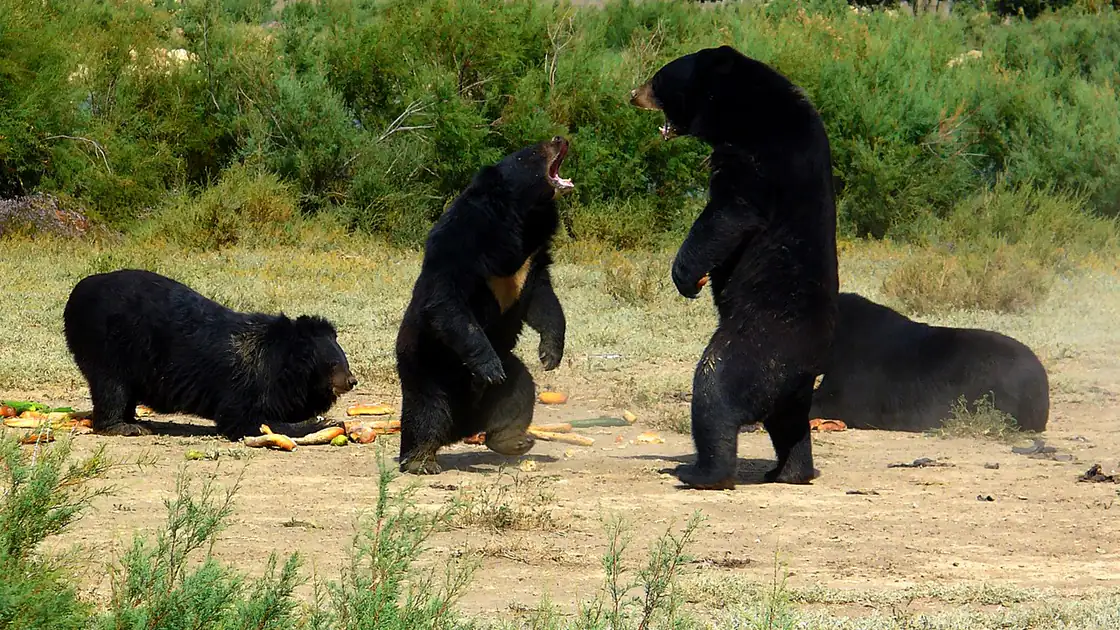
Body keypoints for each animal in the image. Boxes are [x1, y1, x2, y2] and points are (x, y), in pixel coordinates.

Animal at [63, 269, 357, 439]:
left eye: (345, 361)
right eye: (333, 364)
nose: (351, 381)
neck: (286, 363)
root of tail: (77, 291)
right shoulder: (246, 382)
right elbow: (243, 419)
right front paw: (322, 424)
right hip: (106, 343)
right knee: (111, 386)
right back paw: (124, 426)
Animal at [395, 136, 573, 474]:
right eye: (533, 151)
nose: (560, 138)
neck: (522, 218)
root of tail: (463, 424)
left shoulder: (532, 258)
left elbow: (544, 301)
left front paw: (550, 355)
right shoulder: (461, 240)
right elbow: (447, 300)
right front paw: (489, 368)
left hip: (510, 371)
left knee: (518, 392)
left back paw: (512, 440)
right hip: (426, 364)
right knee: (426, 410)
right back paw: (421, 460)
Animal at [631, 45, 839, 489]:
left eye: (659, 78)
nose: (632, 93)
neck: (738, 107)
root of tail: (809, 367)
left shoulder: (760, 153)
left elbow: (731, 210)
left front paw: (686, 276)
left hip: (757, 348)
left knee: (714, 395)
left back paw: (699, 471)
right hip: (791, 389)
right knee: (790, 425)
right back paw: (789, 471)